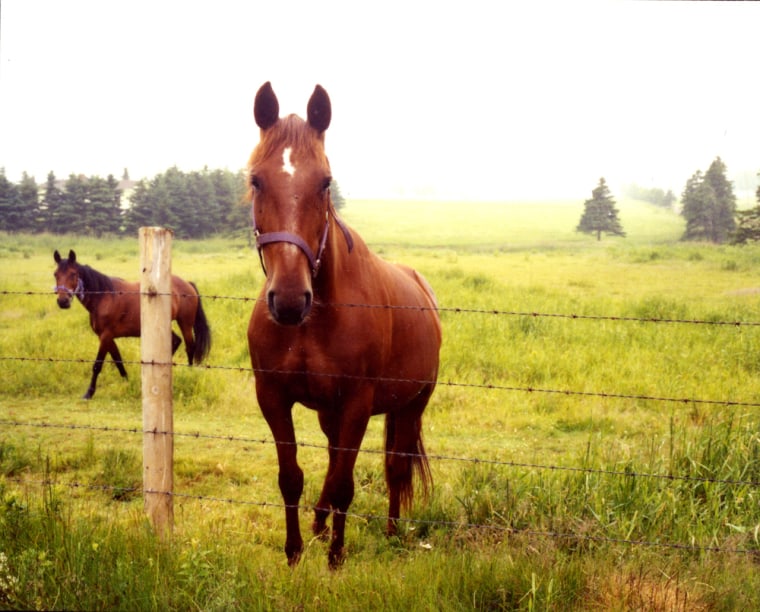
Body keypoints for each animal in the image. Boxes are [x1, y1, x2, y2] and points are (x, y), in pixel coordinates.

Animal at [53, 249, 211, 399]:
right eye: (56, 274)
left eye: (73, 274)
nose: (63, 301)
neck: (104, 297)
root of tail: (188, 284)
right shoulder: (107, 337)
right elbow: (118, 360)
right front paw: (127, 381)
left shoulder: (105, 336)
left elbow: (97, 365)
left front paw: (89, 393)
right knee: (176, 341)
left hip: (185, 323)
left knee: (189, 347)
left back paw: (189, 372)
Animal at [246, 82, 442, 568]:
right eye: (256, 180)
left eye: (325, 182)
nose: (290, 300)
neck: (313, 322)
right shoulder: (273, 397)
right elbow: (292, 477)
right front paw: (295, 552)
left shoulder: (356, 402)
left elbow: (343, 484)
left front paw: (336, 560)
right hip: (330, 413)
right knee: (336, 456)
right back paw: (319, 524)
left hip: (412, 405)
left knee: (395, 467)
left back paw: (391, 532)